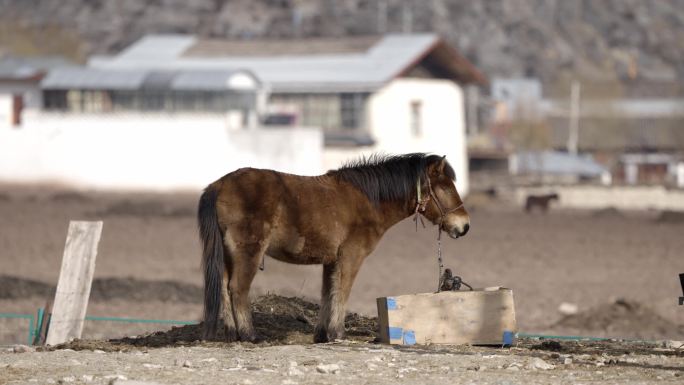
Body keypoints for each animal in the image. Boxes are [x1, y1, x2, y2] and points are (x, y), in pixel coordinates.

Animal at [198, 152, 470, 340]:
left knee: (224, 287)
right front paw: (338, 332)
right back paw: (249, 335)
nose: (464, 226)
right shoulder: (351, 256)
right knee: (237, 288)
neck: (368, 200)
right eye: (446, 187)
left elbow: (327, 292)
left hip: (228, 254)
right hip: (248, 252)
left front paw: (322, 334)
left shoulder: (330, 261)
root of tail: (219, 185)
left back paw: (231, 333)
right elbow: (342, 290)